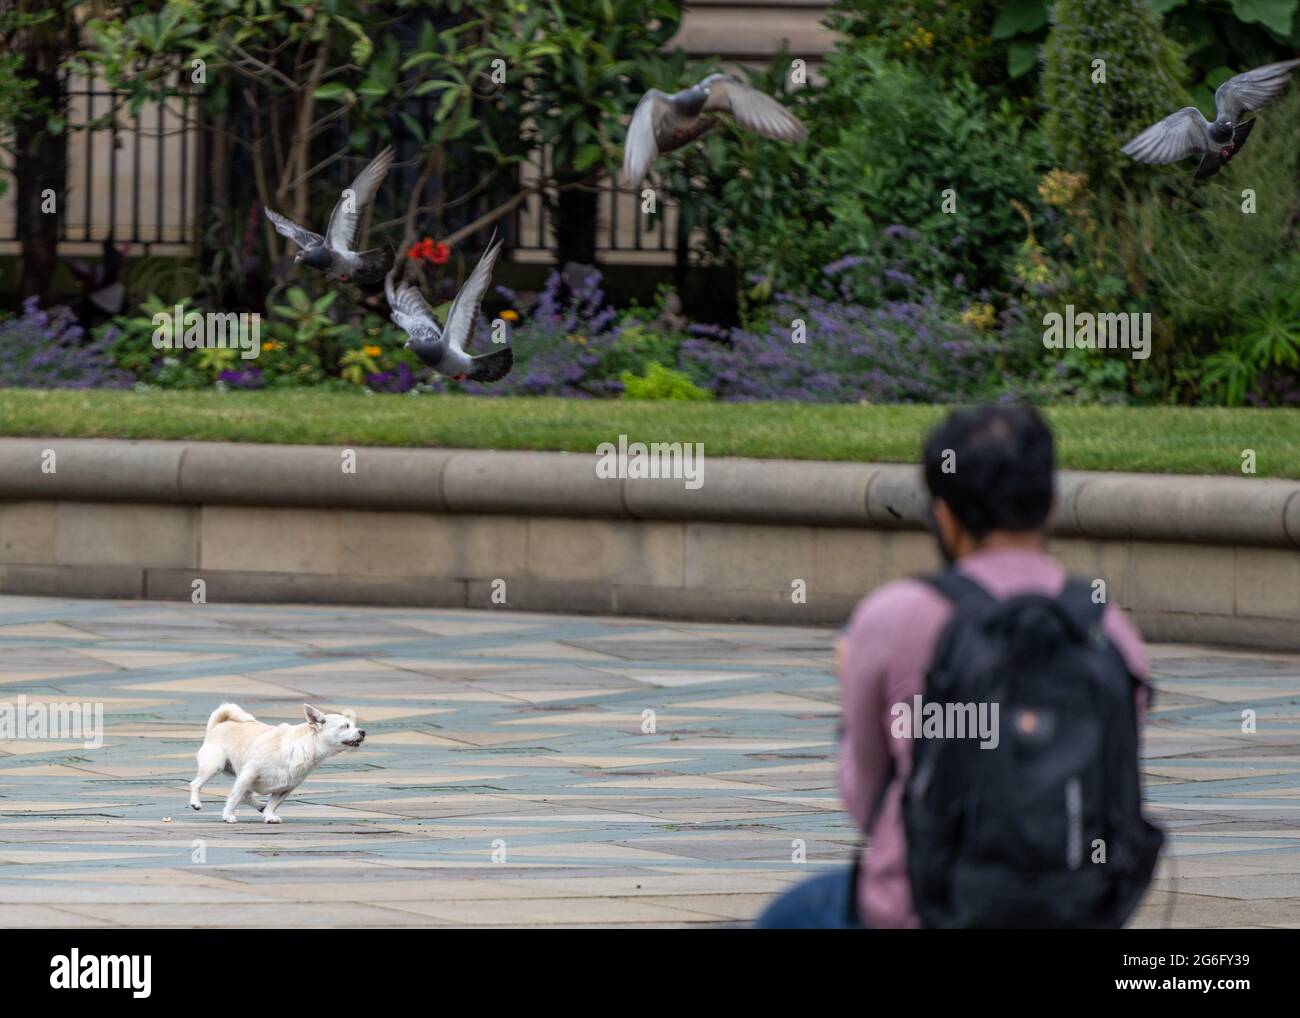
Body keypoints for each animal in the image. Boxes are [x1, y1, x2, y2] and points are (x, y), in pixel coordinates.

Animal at [188, 707, 364, 821]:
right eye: (345, 726)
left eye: (354, 725)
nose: (363, 731)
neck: (304, 745)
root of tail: (219, 724)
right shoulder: (248, 774)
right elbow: (234, 797)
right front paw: (228, 815)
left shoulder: (287, 787)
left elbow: (273, 803)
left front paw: (269, 815)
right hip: (214, 766)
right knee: (196, 784)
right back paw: (196, 802)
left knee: (246, 795)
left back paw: (261, 806)